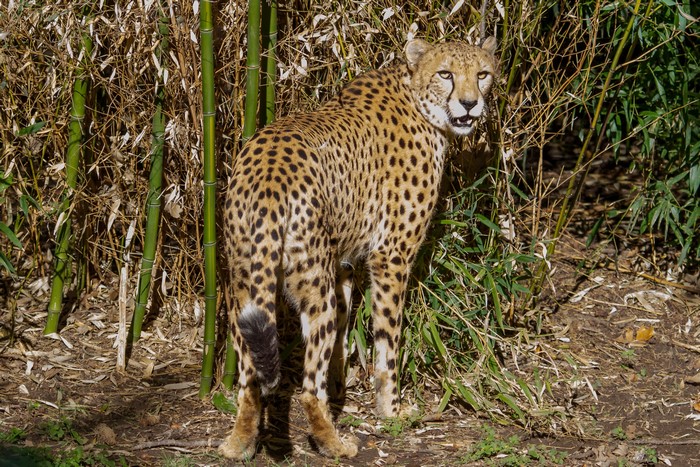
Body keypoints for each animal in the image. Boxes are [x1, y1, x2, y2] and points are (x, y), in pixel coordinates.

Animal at [218, 37, 498, 460]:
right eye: (446, 74)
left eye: (482, 74)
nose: (469, 104)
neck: (417, 96)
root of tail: (268, 173)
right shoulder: (391, 255)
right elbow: (387, 341)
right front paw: (392, 409)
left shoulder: (344, 261)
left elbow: (343, 333)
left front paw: (341, 389)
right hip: (311, 287)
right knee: (306, 387)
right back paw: (334, 443)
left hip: (245, 283)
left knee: (251, 378)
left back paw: (239, 445)